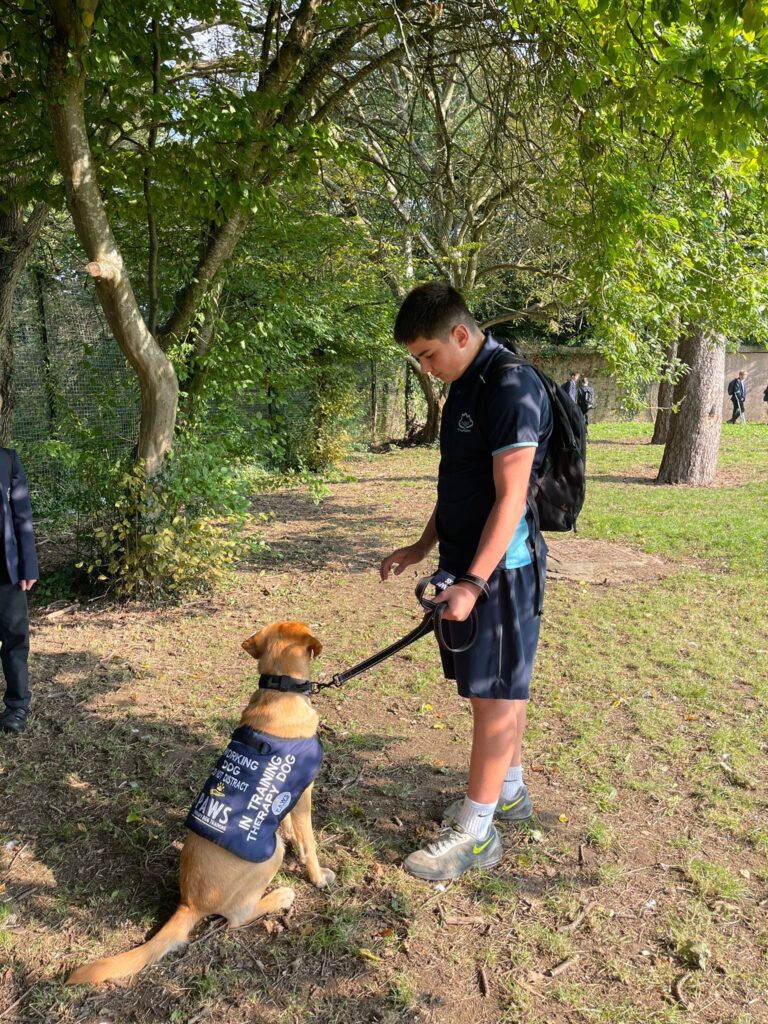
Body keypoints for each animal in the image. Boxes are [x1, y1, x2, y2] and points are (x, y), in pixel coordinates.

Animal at [69, 618, 335, 987]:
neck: (279, 690)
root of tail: (189, 903)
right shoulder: (303, 792)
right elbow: (309, 841)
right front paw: (318, 876)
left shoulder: (283, 796)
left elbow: (287, 825)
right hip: (270, 858)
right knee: (237, 917)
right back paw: (279, 896)